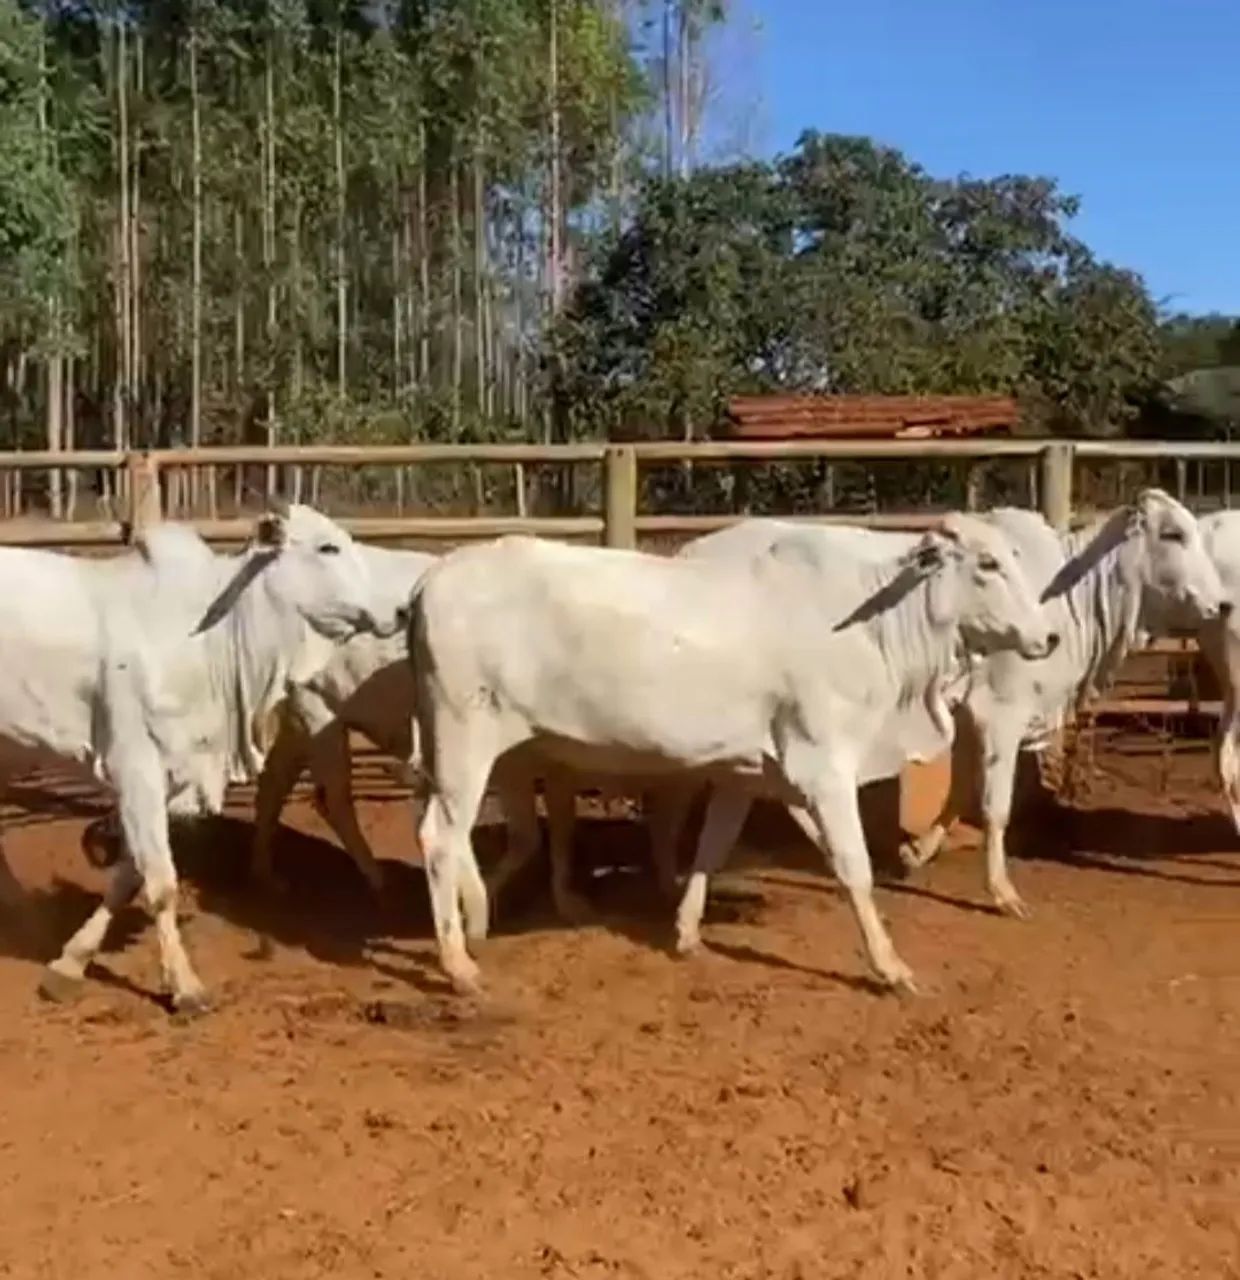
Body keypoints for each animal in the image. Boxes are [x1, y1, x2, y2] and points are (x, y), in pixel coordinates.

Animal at [0, 503, 406, 1014]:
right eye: (327, 547)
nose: (401, 610)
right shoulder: (135, 768)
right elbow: (161, 883)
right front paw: (186, 987)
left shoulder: (175, 777)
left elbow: (131, 876)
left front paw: (69, 964)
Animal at [406, 516, 1056, 996]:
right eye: (988, 564)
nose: (1047, 637)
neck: (873, 625)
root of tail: (429, 579)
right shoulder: (823, 765)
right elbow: (854, 867)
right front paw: (890, 966)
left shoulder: (745, 772)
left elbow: (711, 848)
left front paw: (688, 931)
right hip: (465, 736)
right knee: (440, 837)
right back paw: (458, 964)